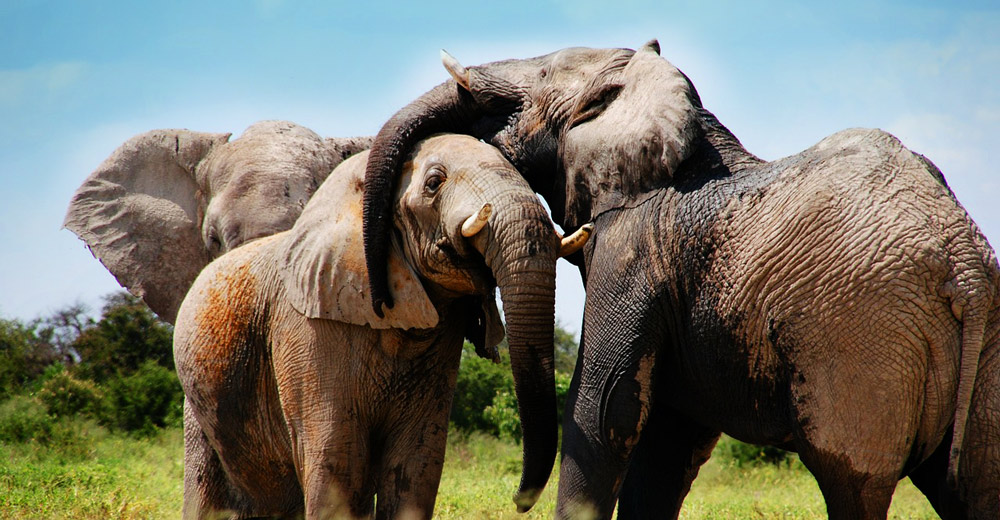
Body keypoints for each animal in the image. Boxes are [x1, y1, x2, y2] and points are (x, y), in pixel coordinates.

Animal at [174, 133, 588, 519]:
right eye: (434, 183)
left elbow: (417, 463)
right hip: (197, 401)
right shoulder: (307, 330)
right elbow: (335, 460)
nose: (518, 501)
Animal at [360, 41, 1000, 519]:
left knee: (853, 484)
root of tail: (963, 263)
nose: (382, 298)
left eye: (541, 73)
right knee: (973, 486)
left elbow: (606, 410)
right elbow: (666, 441)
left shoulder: (633, 246)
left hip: (862, 339)